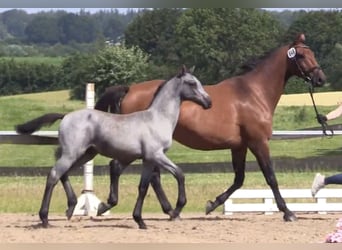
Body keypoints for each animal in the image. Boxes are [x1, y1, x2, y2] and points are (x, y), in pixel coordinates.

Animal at [16, 66, 214, 229]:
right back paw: (45, 218)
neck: (157, 118)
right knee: (54, 175)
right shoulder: (156, 155)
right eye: (191, 83)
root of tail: (65, 116)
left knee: (63, 174)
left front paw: (140, 220)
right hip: (72, 153)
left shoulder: (148, 160)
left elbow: (143, 187)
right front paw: (178, 207)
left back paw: (70, 208)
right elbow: (180, 174)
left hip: (86, 154)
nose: (209, 102)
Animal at [94, 32, 326, 221]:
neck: (254, 93)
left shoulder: (239, 146)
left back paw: (165, 210)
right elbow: (270, 177)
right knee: (129, 170)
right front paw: (288, 212)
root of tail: (130, 89)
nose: (320, 78)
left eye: (313, 53)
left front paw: (212, 204)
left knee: (145, 174)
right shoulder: (258, 142)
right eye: (301, 56)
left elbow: (239, 179)